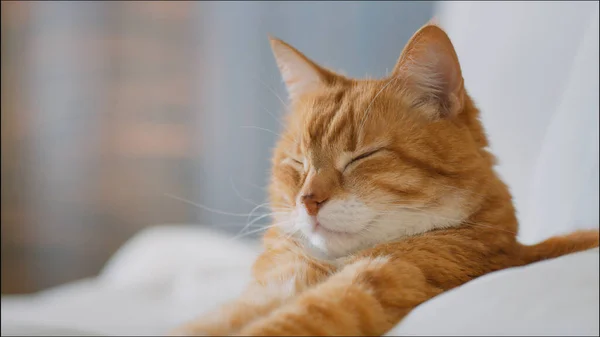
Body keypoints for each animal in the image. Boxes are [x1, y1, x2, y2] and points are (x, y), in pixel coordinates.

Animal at [170, 22, 600, 334]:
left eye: (363, 156)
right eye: (298, 162)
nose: (308, 200)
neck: (327, 267)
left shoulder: (371, 288)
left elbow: (289, 322)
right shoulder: (265, 293)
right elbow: (208, 324)